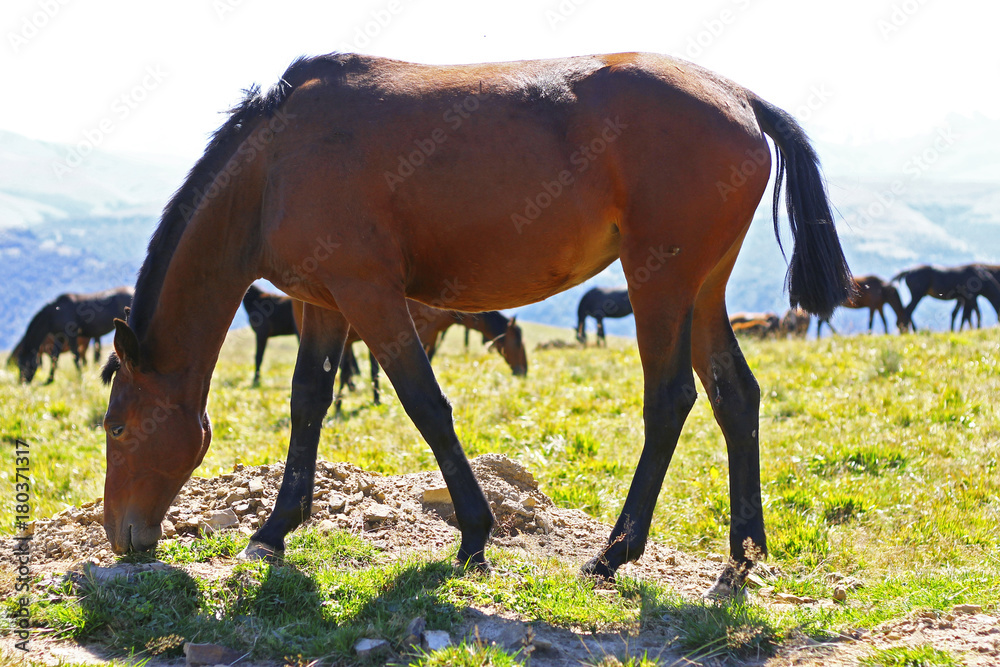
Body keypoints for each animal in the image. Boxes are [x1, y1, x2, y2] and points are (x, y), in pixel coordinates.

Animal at [98, 52, 852, 596]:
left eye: (117, 429)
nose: (119, 534)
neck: (276, 165)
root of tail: (741, 98)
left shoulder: (370, 295)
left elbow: (425, 404)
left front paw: (474, 534)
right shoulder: (324, 303)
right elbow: (308, 402)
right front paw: (275, 528)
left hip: (660, 283)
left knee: (670, 401)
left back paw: (614, 553)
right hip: (702, 290)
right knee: (735, 396)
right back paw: (744, 552)